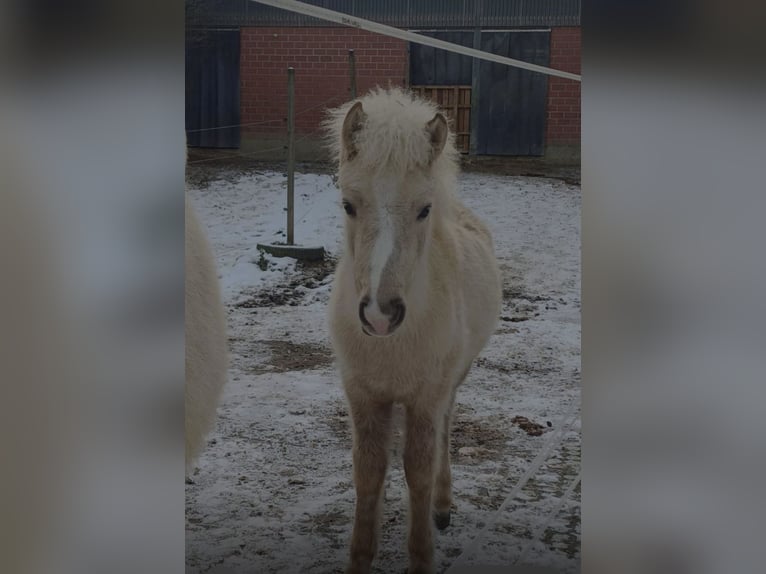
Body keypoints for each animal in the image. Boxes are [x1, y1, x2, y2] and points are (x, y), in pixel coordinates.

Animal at [324, 87, 502, 574]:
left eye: (423, 209)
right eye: (348, 204)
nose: (380, 314)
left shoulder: (426, 396)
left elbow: (418, 472)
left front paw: (422, 554)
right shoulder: (363, 394)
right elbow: (368, 472)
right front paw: (360, 555)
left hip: (451, 382)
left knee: (445, 429)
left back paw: (442, 507)